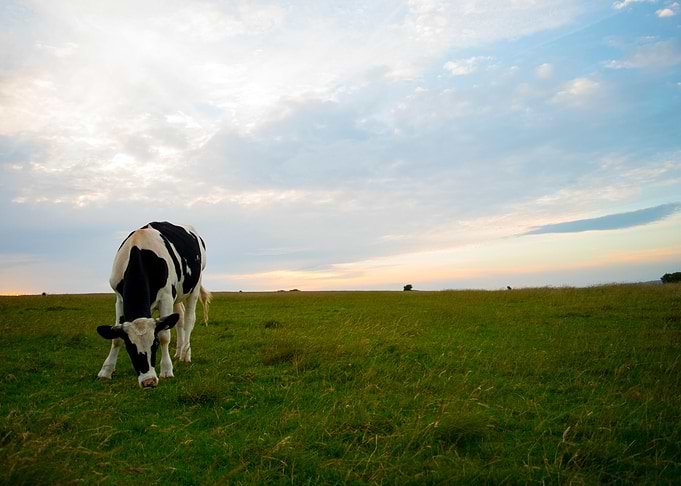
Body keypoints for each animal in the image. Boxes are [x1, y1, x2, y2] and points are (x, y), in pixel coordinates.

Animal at [96, 222, 211, 388]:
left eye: (154, 344)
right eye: (130, 347)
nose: (148, 381)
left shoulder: (166, 297)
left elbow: (164, 335)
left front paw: (167, 370)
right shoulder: (119, 299)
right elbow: (116, 337)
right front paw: (106, 371)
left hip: (194, 287)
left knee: (189, 320)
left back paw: (185, 354)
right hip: (177, 295)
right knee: (179, 319)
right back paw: (178, 352)